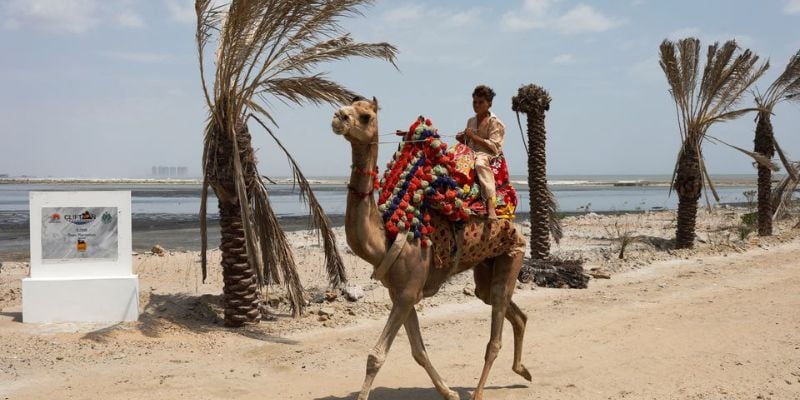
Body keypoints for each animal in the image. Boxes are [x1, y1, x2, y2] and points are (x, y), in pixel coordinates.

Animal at [332, 97, 536, 400]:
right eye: (348, 105)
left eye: (365, 115)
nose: (338, 117)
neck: (386, 239)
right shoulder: (400, 293)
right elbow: (418, 351)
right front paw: (449, 392)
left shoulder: (407, 292)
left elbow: (376, 356)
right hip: (487, 266)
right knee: (511, 311)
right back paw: (523, 371)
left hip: (513, 253)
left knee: (494, 336)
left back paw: (479, 393)